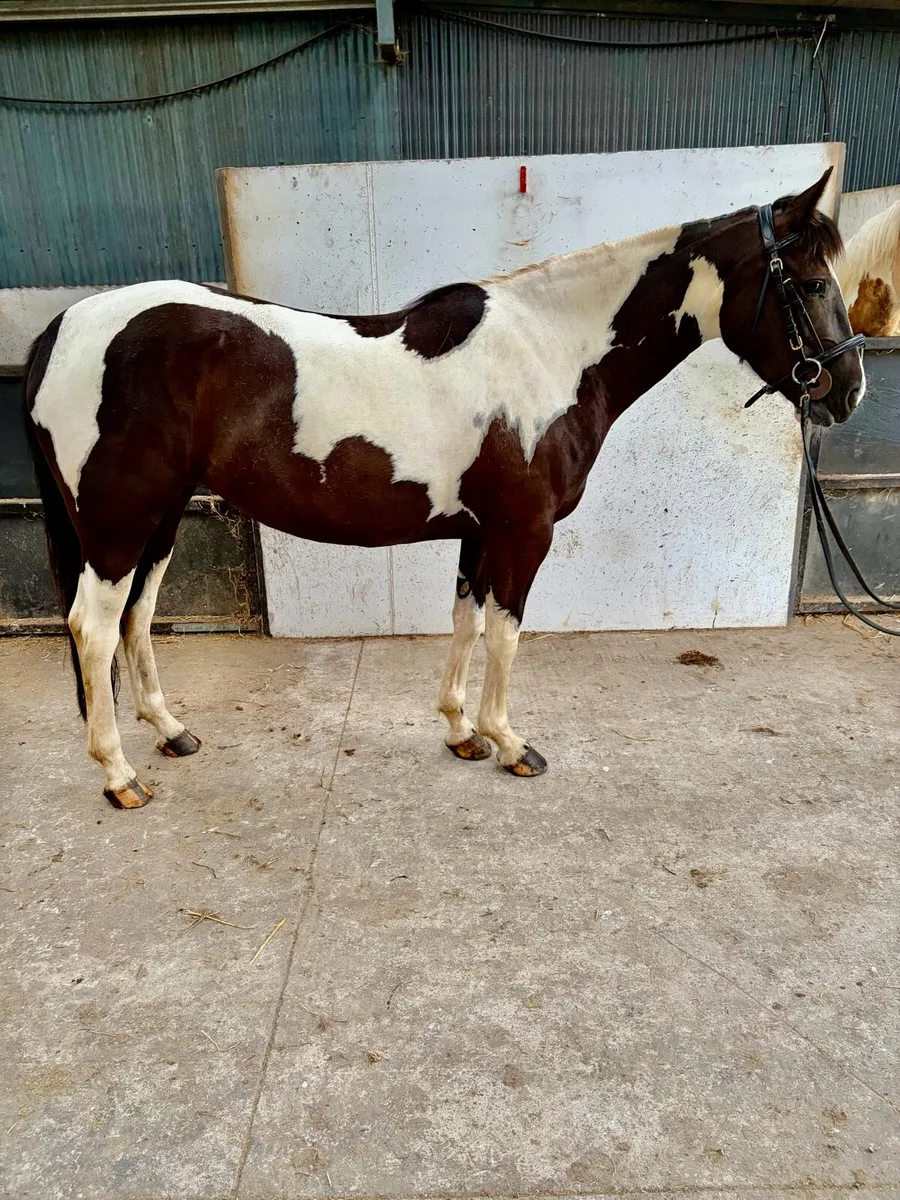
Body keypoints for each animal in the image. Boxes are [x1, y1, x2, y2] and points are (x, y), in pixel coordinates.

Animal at [25, 167, 865, 809]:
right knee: (93, 628)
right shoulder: (525, 530)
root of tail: (63, 327)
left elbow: (465, 620)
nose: (848, 390)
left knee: (136, 620)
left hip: (159, 519)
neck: (551, 351)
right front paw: (511, 743)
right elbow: (506, 632)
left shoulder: (477, 530)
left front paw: (462, 732)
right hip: (119, 522)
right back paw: (120, 775)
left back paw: (171, 734)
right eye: (809, 283)